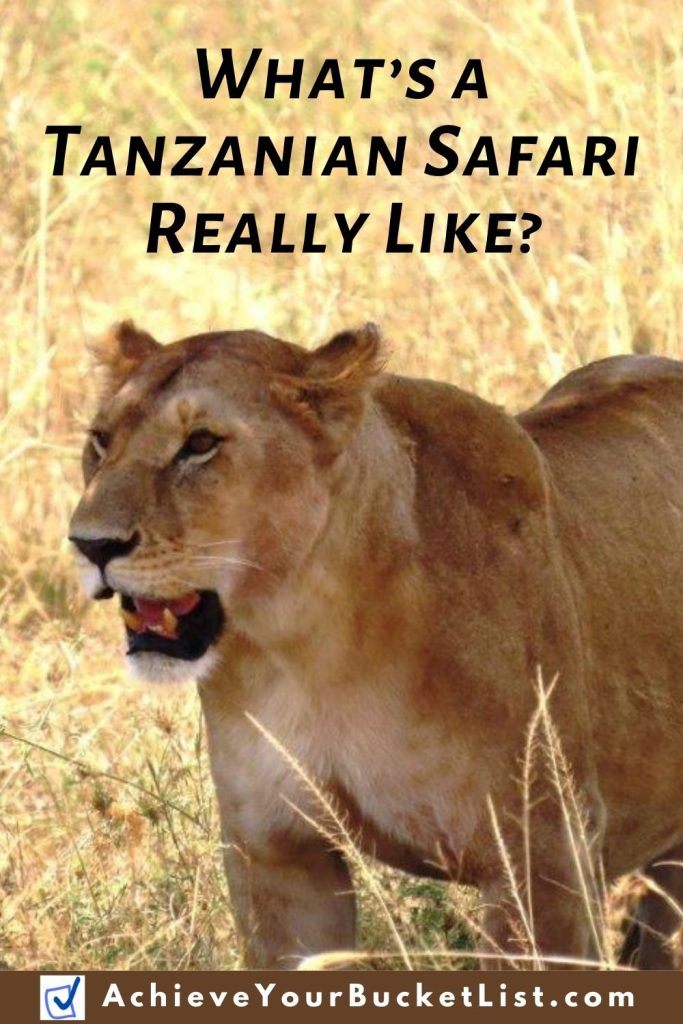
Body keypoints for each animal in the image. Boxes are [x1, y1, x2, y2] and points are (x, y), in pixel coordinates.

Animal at [69, 321, 683, 969]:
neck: (308, 642)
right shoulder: (276, 854)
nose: (90, 545)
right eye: (100, 442)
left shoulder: (544, 856)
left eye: (201, 442)